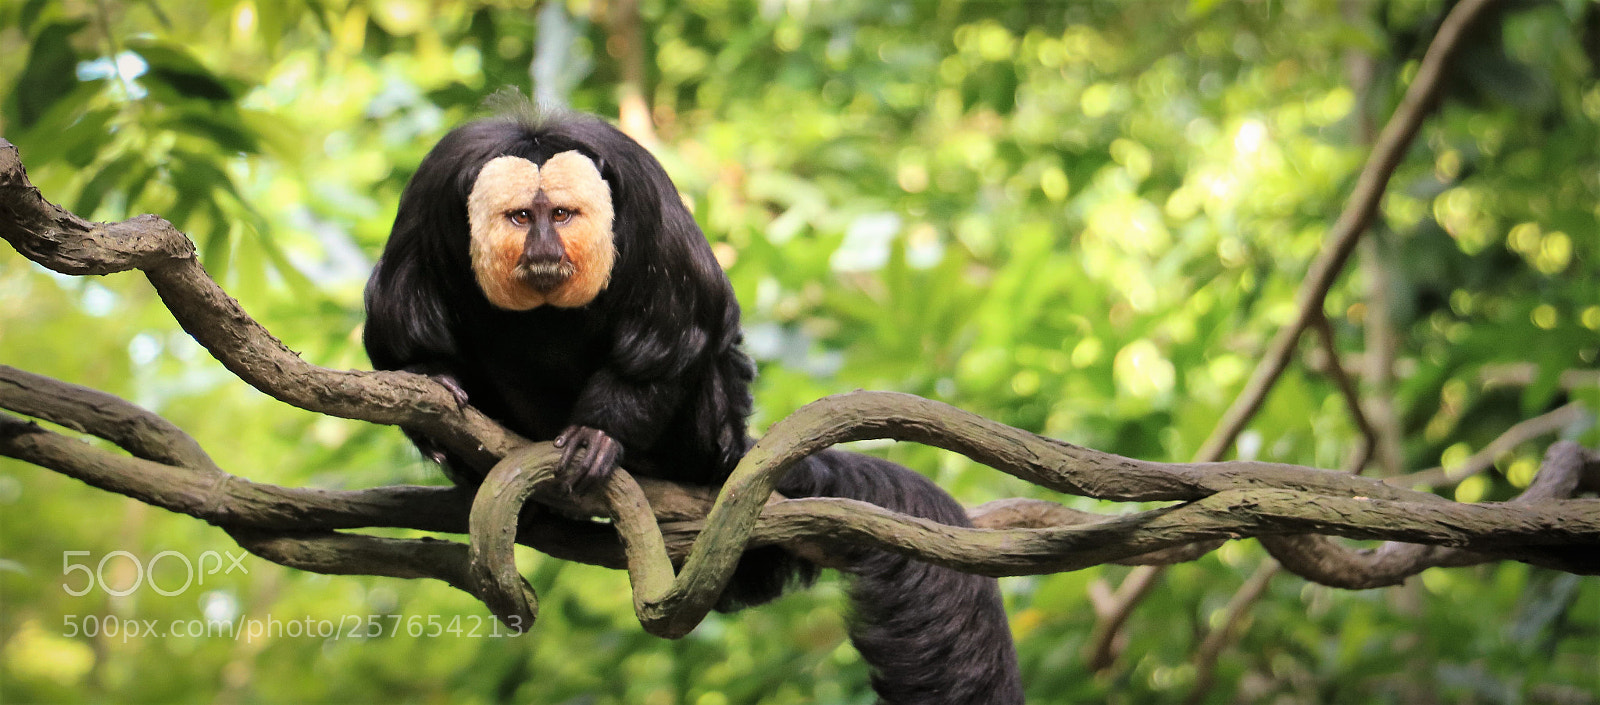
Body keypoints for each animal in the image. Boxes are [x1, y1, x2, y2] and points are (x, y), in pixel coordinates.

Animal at [363, 108, 1023, 705]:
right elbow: (396, 330)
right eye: (522, 216)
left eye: (562, 215)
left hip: (712, 428)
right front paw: (431, 384)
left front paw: (599, 436)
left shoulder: (643, 196)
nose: (544, 246)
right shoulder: (432, 195)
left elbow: (675, 332)